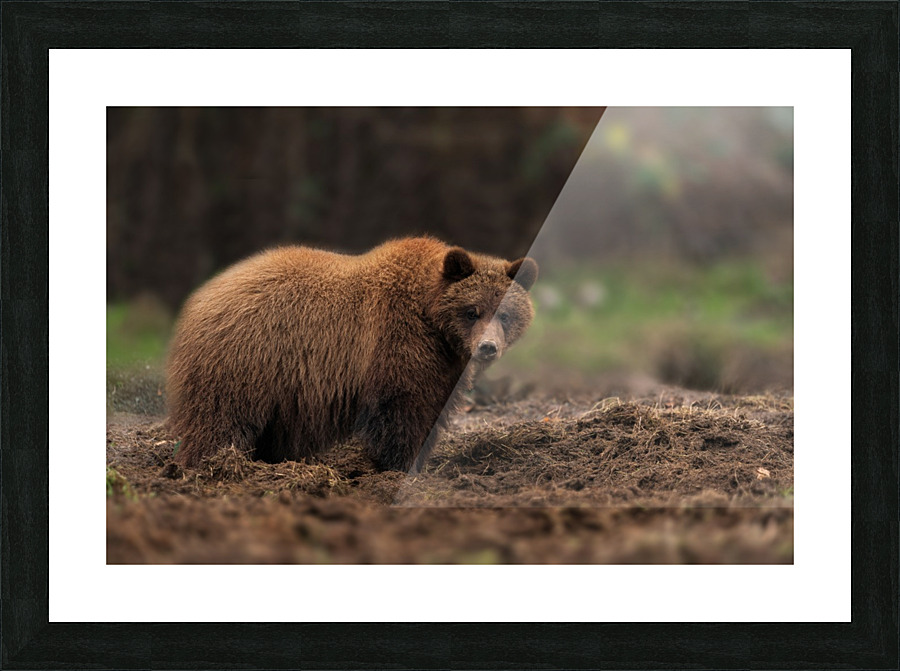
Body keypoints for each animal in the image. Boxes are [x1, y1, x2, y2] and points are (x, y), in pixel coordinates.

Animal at [167, 236, 538, 472]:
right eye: (472, 311)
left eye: (505, 314)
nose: (487, 347)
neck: (432, 318)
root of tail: (198, 299)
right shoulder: (398, 341)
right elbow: (400, 410)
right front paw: (395, 466)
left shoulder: (444, 363)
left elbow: (431, 410)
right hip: (245, 358)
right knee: (219, 419)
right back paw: (209, 464)